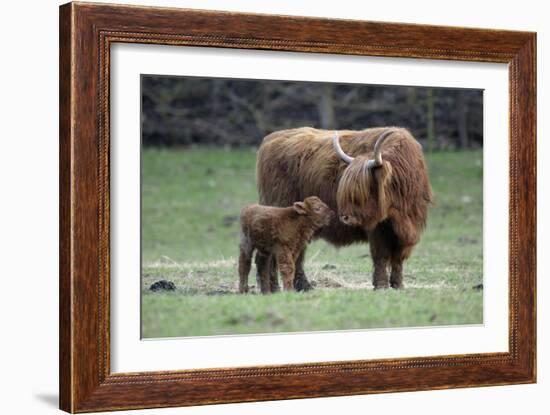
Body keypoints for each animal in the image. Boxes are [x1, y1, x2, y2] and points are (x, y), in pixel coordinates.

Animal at [256, 127, 434, 292]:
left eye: (363, 190)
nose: (346, 218)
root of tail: (270, 139)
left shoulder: (407, 229)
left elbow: (398, 258)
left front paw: (398, 285)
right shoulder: (377, 228)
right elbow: (381, 255)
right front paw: (381, 285)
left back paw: (300, 287)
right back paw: (280, 287)